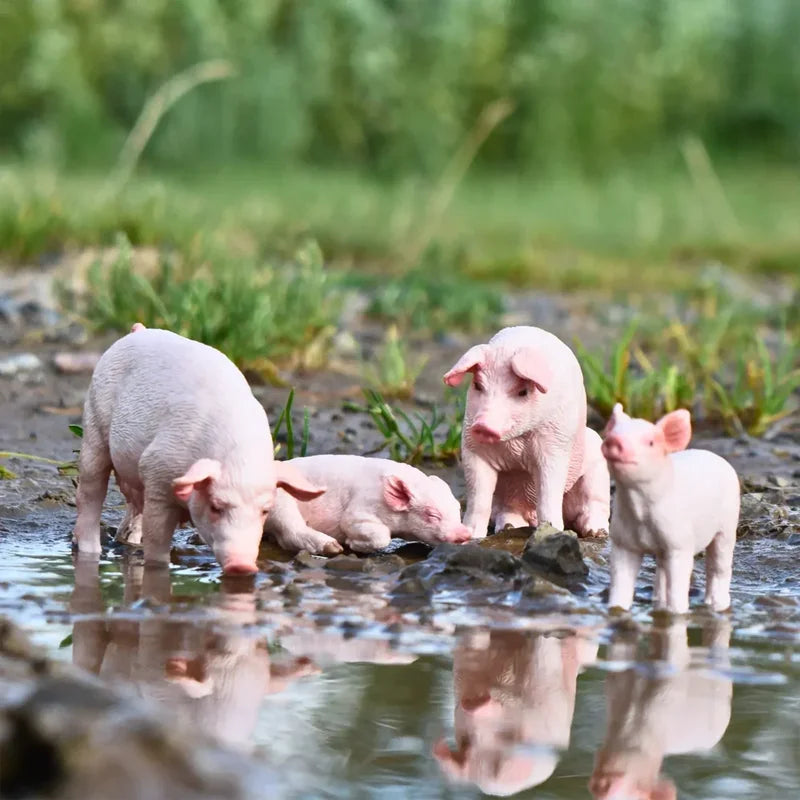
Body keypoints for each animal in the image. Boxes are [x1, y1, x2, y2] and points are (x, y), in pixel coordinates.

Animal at [72, 327, 324, 574]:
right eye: (216, 506)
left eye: (265, 511)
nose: (242, 565)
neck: (236, 458)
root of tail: (139, 330)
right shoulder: (157, 468)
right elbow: (157, 538)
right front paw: (158, 569)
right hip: (94, 420)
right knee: (90, 490)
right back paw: (91, 550)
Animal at [263, 455, 471, 554]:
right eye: (432, 514)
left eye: (458, 509)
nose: (465, 533)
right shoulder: (360, 509)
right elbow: (377, 535)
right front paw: (350, 544)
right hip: (279, 502)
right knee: (290, 532)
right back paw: (333, 548)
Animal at [443, 326, 610, 539]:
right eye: (478, 386)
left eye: (523, 392)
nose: (483, 426)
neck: (516, 446)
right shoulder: (473, 449)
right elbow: (478, 499)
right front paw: (471, 537)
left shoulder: (555, 446)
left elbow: (548, 493)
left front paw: (552, 532)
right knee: (510, 509)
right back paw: (508, 527)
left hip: (597, 459)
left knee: (594, 502)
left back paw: (596, 533)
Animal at [601, 403, 740, 613]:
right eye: (612, 433)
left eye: (650, 442)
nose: (613, 440)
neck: (640, 511)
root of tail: (719, 458)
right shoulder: (622, 541)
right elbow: (620, 583)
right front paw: (616, 610)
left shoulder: (680, 543)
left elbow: (678, 584)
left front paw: (677, 613)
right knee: (661, 571)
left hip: (728, 526)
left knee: (718, 567)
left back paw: (716, 606)